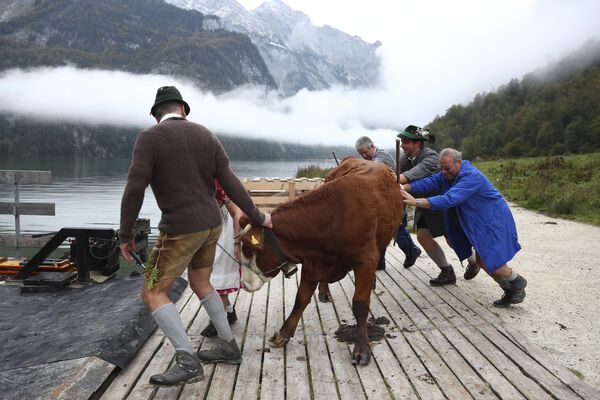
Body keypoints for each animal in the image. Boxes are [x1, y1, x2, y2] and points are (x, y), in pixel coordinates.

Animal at [239, 157, 404, 366]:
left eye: (249, 249)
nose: (243, 284)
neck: (331, 217)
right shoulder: (312, 263)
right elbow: (300, 299)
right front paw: (284, 334)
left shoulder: (366, 260)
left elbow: (360, 305)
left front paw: (362, 348)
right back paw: (324, 291)